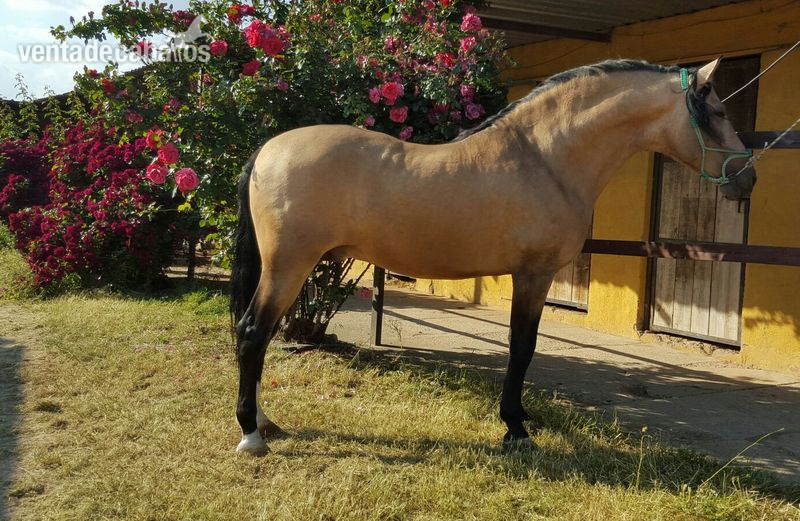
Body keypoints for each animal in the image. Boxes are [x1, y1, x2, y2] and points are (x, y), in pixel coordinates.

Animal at [229, 58, 757, 456]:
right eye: (718, 112)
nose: (747, 178)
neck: (544, 158)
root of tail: (268, 150)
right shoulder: (533, 274)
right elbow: (522, 348)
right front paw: (516, 429)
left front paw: (518, 420)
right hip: (288, 266)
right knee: (253, 333)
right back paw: (252, 434)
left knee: (256, 334)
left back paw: (265, 421)